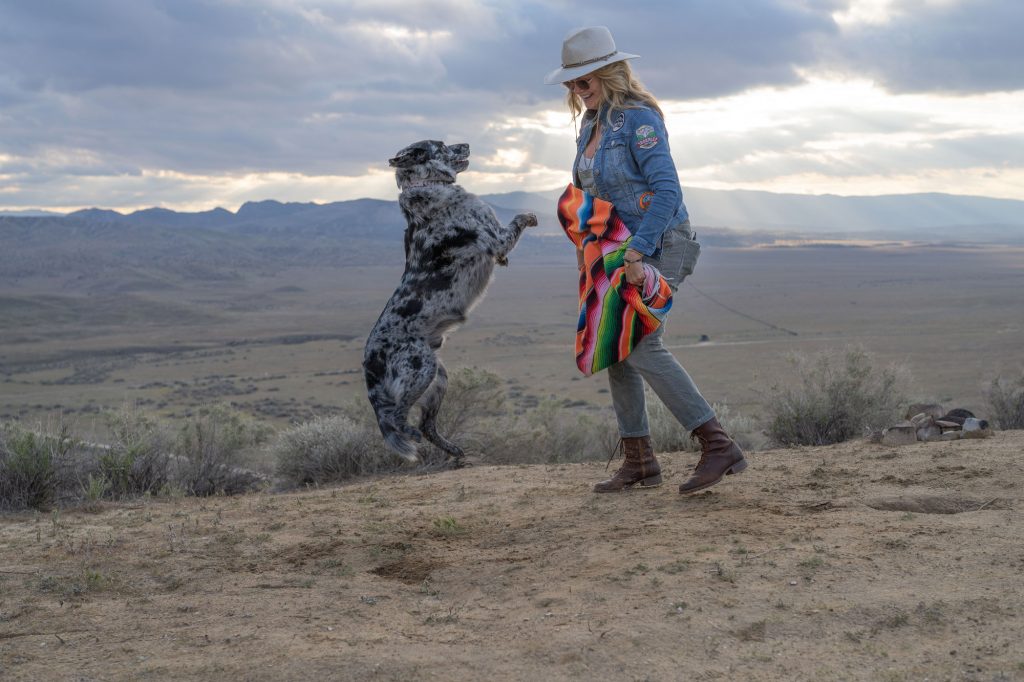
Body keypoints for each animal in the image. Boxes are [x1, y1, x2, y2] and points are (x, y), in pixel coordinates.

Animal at [360, 140, 536, 464]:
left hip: (438, 378)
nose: (466, 143)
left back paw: (455, 451)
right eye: (440, 145)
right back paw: (413, 435)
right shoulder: (497, 238)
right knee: (399, 416)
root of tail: (369, 363)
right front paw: (530, 216)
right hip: (421, 369)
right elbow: (517, 222)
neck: (426, 185)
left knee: (427, 426)